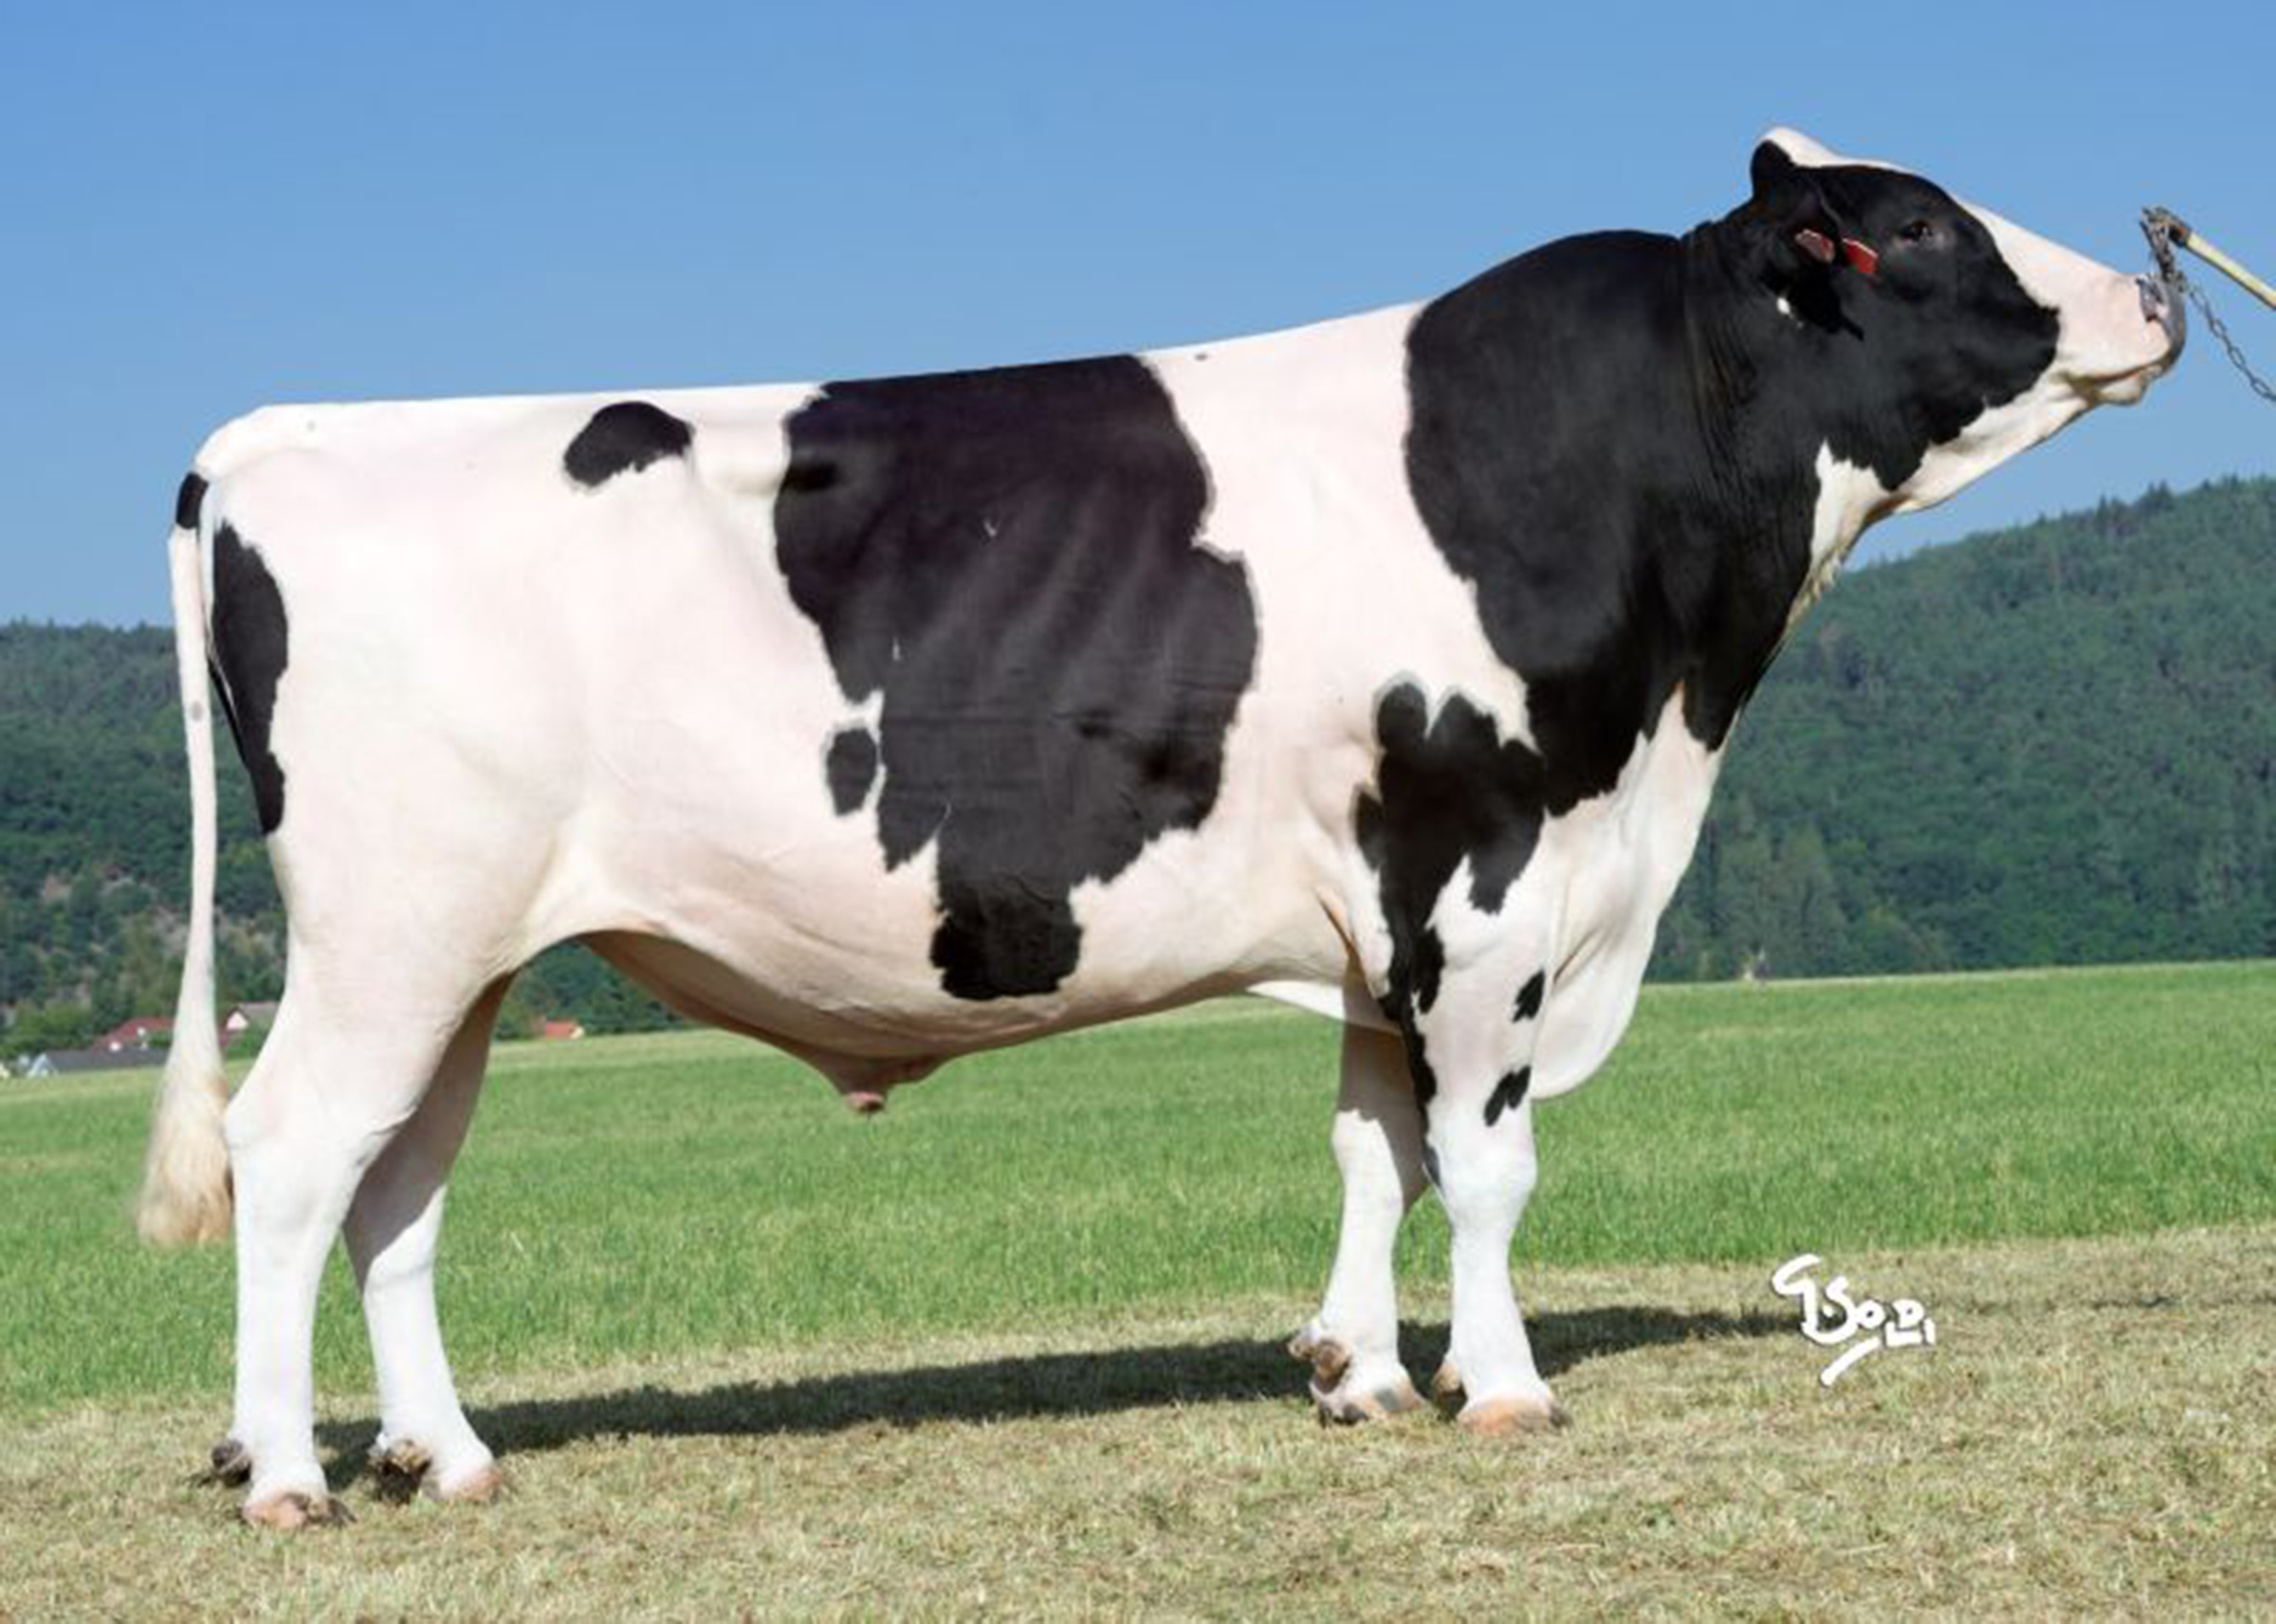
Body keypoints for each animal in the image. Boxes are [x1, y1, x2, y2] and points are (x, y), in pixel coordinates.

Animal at [138, 130, 2182, 1528]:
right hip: (391, 930)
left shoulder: (1379, 910)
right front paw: (1506, 1386)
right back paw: (290, 1476)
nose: (2162, 283)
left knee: (397, 1186)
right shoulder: (1486, 869)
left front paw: (1359, 1372)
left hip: (467, 954)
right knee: (293, 1152)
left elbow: (1374, 1148)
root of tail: (274, 438)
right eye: (1922, 225)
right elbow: (1486, 1165)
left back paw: (446, 1451)